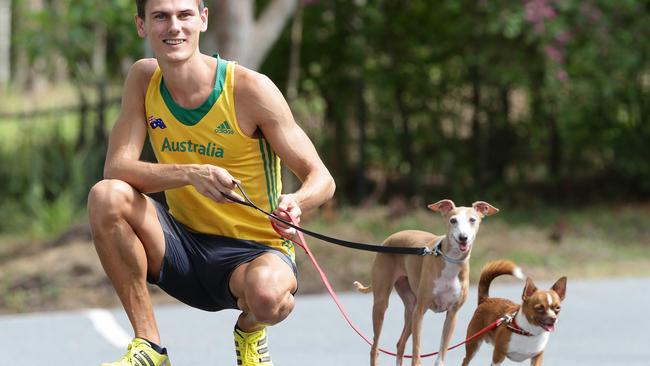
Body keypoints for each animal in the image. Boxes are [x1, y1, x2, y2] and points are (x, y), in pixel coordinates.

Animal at [354, 200, 496, 366]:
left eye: (472, 220)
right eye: (453, 220)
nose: (463, 238)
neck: (450, 260)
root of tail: (388, 240)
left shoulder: (452, 315)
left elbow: (441, 356)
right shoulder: (421, 311)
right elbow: (416, 354)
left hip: (411, 308)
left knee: (400, 343)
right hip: (383, 305)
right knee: (375, 348)